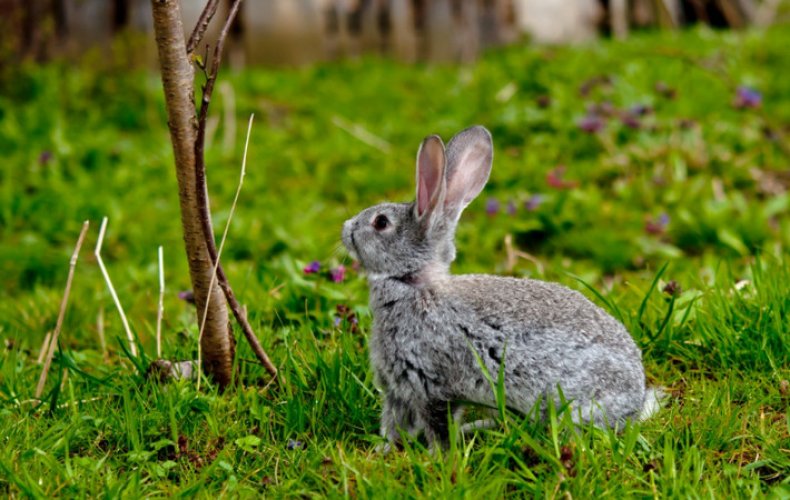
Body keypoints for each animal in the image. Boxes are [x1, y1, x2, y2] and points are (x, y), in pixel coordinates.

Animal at [340, 125, 656, 450]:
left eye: (380, 222)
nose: (346, 226)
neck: (415, 284)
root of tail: (635, 398)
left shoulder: (433, 383)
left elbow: (439, 425)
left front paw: (436, 455)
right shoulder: (397, 388)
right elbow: (395, 422)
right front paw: (385, 449)